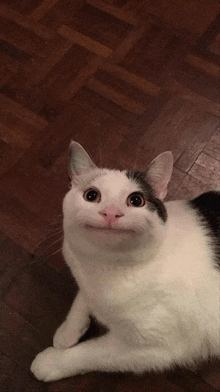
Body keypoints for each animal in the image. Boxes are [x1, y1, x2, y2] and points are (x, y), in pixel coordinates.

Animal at [30, 142, 219, 382]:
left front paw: (52, 362)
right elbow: (82, 298)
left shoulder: (159, 348)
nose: (111, 213)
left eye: (136, 200)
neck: (108, 266)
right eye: (92, 195)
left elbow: (92, 354)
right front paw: (67, 331)